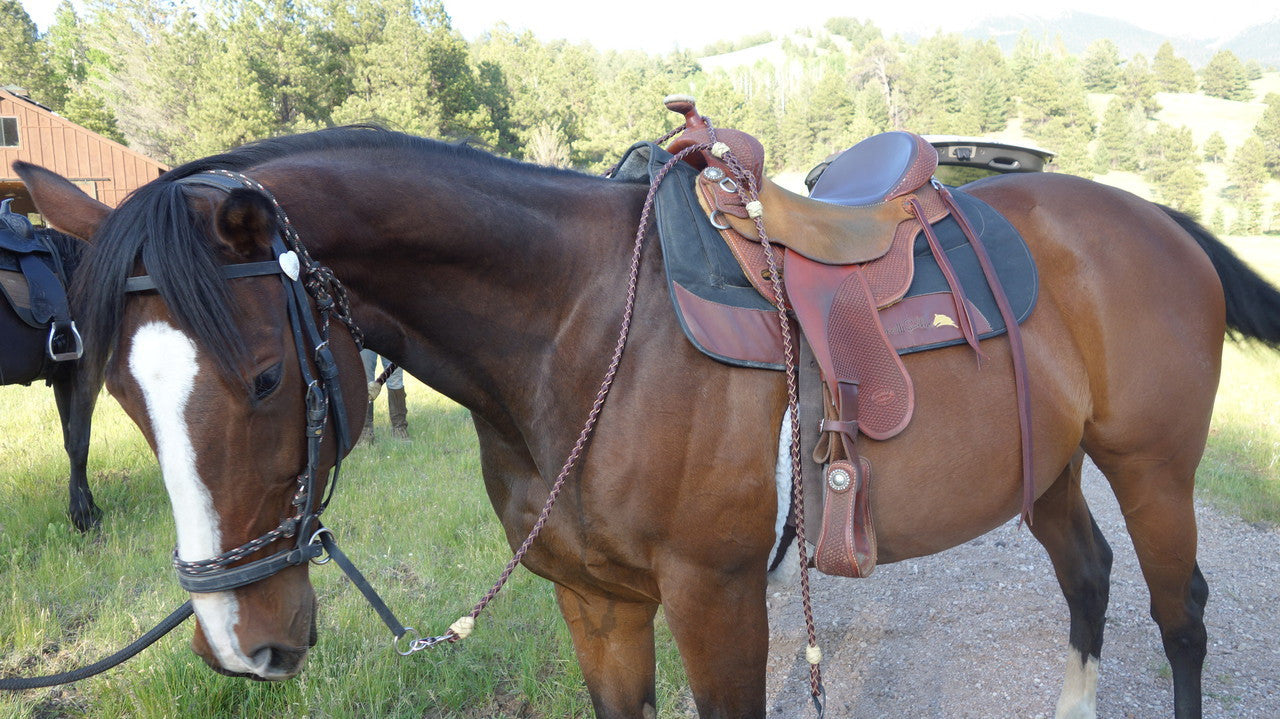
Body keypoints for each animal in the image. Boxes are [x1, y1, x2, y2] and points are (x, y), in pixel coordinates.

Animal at [0, 208, 103, 532]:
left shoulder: (63, 375)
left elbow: (70, 440)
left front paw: (86, 506)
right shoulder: (86, 371)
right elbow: (80, 442)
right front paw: (83, 516)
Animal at [14, 126, 1280, 719]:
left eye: (270, 378)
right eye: (118, 395)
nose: (242, 642)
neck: (573, 331)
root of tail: (1155, 219)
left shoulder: (714, 596)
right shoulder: (595, 600)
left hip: (1149, 465)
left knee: (1178, 611)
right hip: (1045, 464)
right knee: (1085, 574)